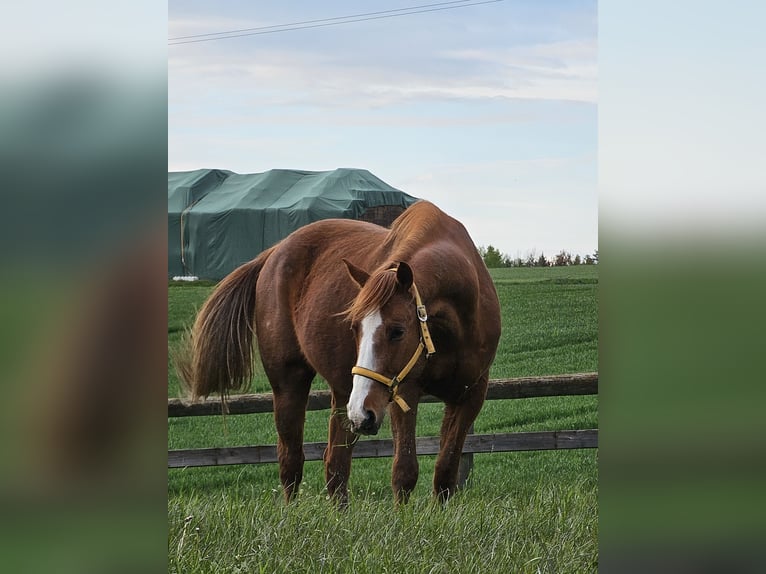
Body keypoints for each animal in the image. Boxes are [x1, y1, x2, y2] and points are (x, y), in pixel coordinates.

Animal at [179, 201, 504, 504]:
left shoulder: (470, 394)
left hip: (345, 395)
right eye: (354, 327)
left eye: (398, 330)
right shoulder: (403, 392)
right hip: (292, 385)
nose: (363, 414)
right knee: (291, 461)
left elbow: (446, 473)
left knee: (335, 466)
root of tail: (273, 253)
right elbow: (404, 472)